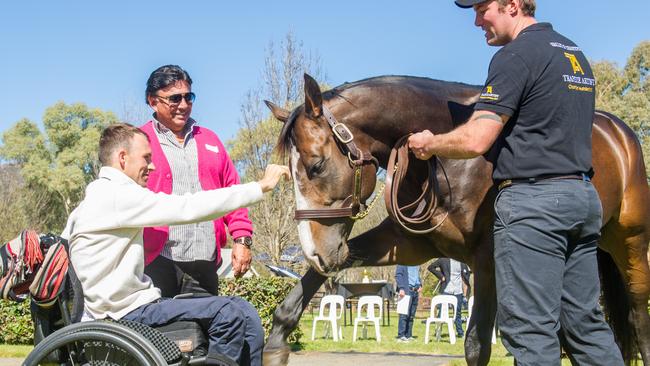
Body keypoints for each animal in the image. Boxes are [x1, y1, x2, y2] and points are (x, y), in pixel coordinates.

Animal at [260, 74, 644, 366]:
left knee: (637, 317)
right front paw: (276, 345)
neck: (449, 158)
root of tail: (617, 132)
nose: (313, 251)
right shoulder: (405, 245)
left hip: (632, 245)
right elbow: (300, 294)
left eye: (316, 166)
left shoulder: (488, 260)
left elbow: (477, 345)